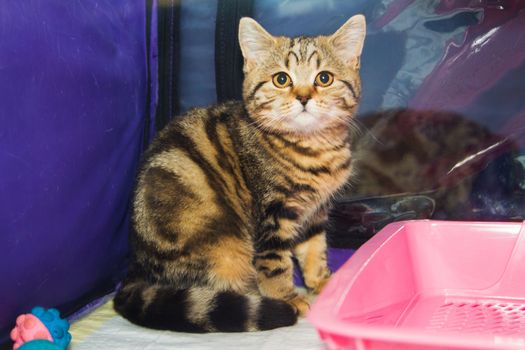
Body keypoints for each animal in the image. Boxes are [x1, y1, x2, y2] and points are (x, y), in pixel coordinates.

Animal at [114, 15, 364, 332]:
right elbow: (275, 263)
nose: (304, 97)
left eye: (324, 78)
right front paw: (287, 297)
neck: (312, 148)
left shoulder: (314, 214)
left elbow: (314, 250)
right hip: (220, 249)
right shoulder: (270, 216)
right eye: (281, 79)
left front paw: (324, 283)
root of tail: (138, 266)